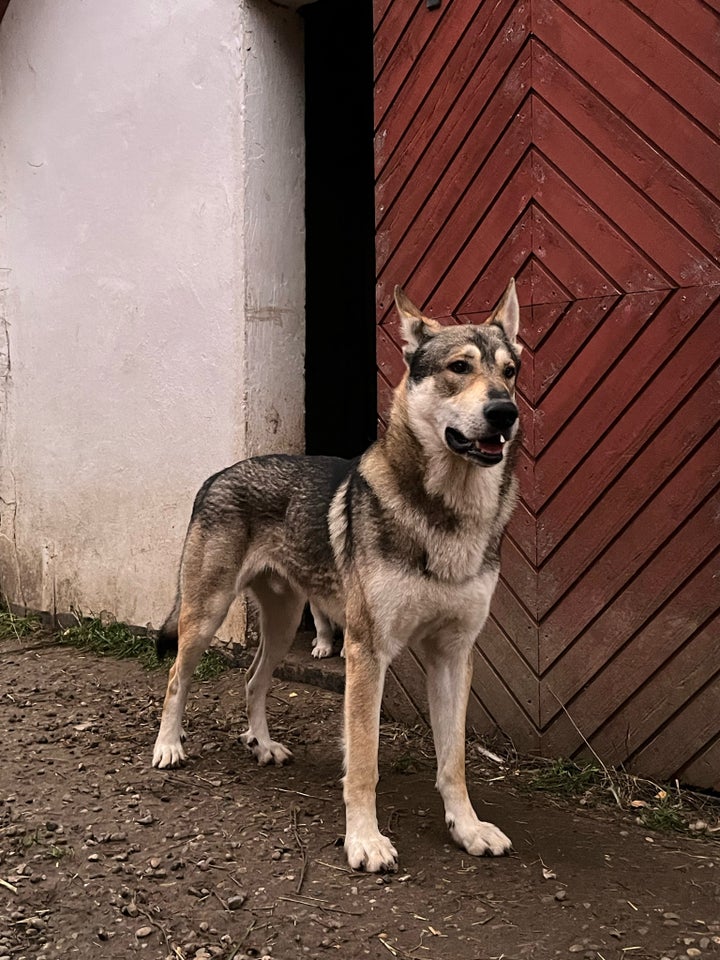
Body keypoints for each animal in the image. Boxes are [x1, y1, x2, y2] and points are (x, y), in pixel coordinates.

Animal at [153, 278, 524, 872]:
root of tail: (219, 472)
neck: (447, 516)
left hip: (283, 627)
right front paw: (365, 841)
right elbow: (364, 762)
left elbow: (454, 762)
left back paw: (262, 745)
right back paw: (168, 747)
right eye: (459, 367)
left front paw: (467, 829)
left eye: (510, 371)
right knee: (175, 678)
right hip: (204, 617)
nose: (504, 412)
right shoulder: (367, 652)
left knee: (253, 681)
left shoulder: (453, 653)